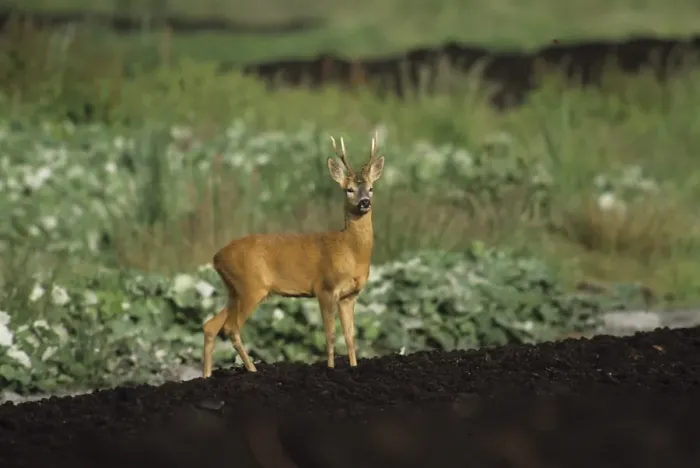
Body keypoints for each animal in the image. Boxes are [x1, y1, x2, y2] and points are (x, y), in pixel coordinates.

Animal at [202, 132, 385, 377]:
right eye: (349, 189)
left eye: (371, 188)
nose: (365, 202)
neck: (351, 251)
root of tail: (216, 258)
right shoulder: (325, 288)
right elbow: (330, 334)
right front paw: (330, 368)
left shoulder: (349, 296)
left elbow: (350, 336)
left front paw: (354, 367)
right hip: (251, 287)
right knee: (230, 328)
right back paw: (253, 370)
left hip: (234, 291)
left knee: (211, 325)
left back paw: (206, 376)